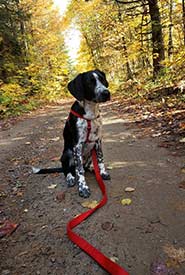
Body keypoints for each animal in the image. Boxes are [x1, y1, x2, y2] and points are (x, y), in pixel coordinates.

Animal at [33, 69, 110, 198]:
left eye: (102, 79)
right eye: (90, 83)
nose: (106, 93)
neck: (90, 115)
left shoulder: (98, 140)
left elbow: (100, 159)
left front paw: (102, 172)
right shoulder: (77, 145)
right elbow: (80, 170)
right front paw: (83, 188)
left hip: (90, 152)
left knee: (85, 166)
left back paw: (93, 169)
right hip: (67, 153)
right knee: (68, 170)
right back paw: (70, 178)